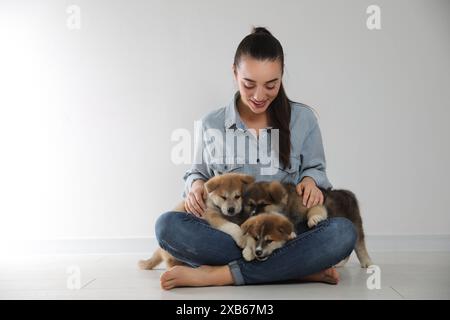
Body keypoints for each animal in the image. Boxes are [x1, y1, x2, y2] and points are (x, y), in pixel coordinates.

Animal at [243, 180, 372, 268]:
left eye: (263, 204)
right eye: (251, 205)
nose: (252, 215)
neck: (287, 205)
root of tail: (347, 193)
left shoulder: (311, 204)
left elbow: (313, 211)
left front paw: (313, 219)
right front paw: (249, 251)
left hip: (356, 225)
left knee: (360, 246)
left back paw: (367, 263)